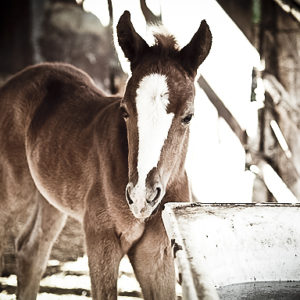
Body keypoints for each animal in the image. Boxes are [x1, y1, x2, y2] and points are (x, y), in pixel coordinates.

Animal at [0, 10, 211, 298]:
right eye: (124, 111)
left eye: (188, 116)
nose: (141, 197)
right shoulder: (101, 240)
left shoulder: (158, 252)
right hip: (12, 191)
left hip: (51, 198)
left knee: (31, 251)